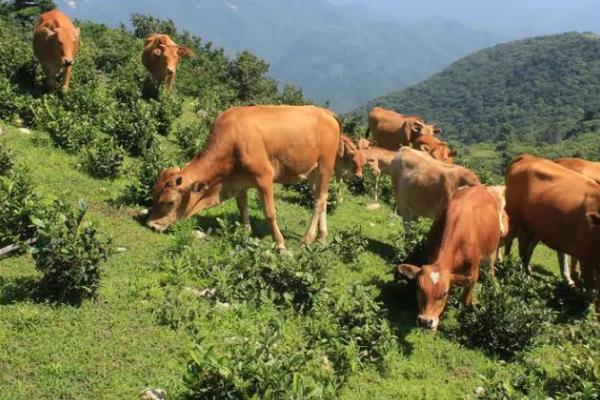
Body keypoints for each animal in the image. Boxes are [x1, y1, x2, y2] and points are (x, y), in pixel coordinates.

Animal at [146, 104, 342, 252]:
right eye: (154, 195)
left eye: (170, 202)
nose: (151, 225)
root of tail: (326, 113)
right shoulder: (239, 180)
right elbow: (242, 206)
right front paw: (245, 232)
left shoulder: (264, 176)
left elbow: (270, 213)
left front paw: (280, 244)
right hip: (312, 172)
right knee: (322, 198)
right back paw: (321, 237)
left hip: (325, 167)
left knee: (319, 201)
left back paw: (307, 238)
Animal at [398, 184, 506, 328]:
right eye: (418, 287)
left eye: (445, 293)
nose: (425, 321)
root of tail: (481, 186)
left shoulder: (473, 274)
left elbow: (466, 300)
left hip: (491, 252)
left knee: (490, 271)